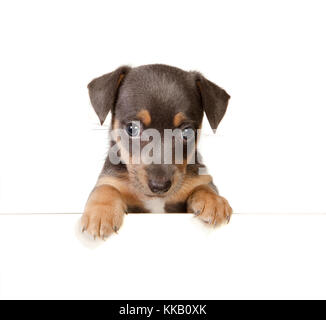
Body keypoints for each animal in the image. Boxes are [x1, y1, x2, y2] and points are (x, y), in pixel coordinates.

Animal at [81, 63, 232, 239]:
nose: (159, 186)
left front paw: (214, 201)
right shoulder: (111, 180)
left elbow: (204, 186)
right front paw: (100, 213)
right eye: (132, 128)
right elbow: (105, 188)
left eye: (187, 132)